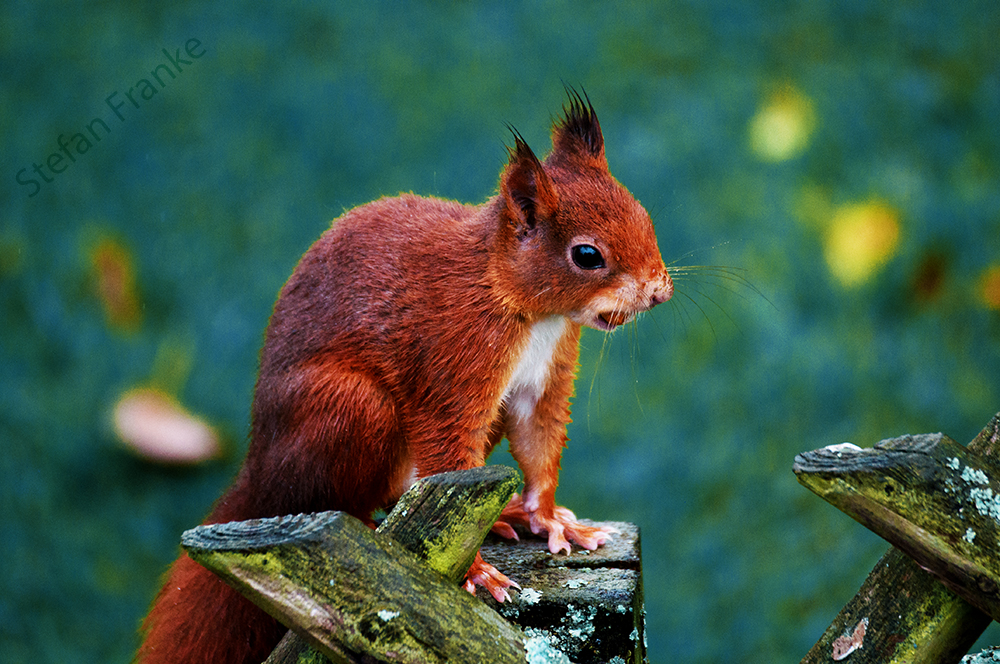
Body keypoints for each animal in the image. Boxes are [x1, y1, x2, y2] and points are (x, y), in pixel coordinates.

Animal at [135, 91, 672, 664]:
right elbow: (447, 449)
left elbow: (539, 442)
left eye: (643, 214)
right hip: (351, 409)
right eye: (587, 255)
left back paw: (504, 514)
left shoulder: (541, 380)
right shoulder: (451, 362)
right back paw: (371, 527)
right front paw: (476, 572)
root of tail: (258, 477)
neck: (525, 306)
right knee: (337, 496)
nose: (660, 291)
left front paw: (547, 517)